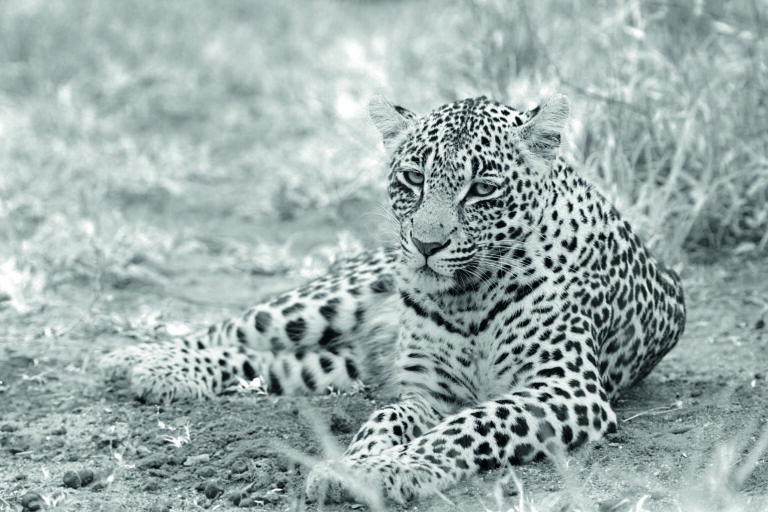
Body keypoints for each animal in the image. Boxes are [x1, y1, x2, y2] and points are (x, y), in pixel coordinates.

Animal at [101, 94, 686, 505]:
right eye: (413, 176)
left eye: (482, 189)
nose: (426, 245)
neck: (468, 298)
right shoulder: (426, 391)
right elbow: (383, 422)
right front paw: (354, 466)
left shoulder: (565, 389)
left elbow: (471, 425)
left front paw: (390, 469)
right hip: (327, 301)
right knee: (237, 327)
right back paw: (136, 358)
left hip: (337, 367)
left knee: (269, 363)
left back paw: (155, 370)